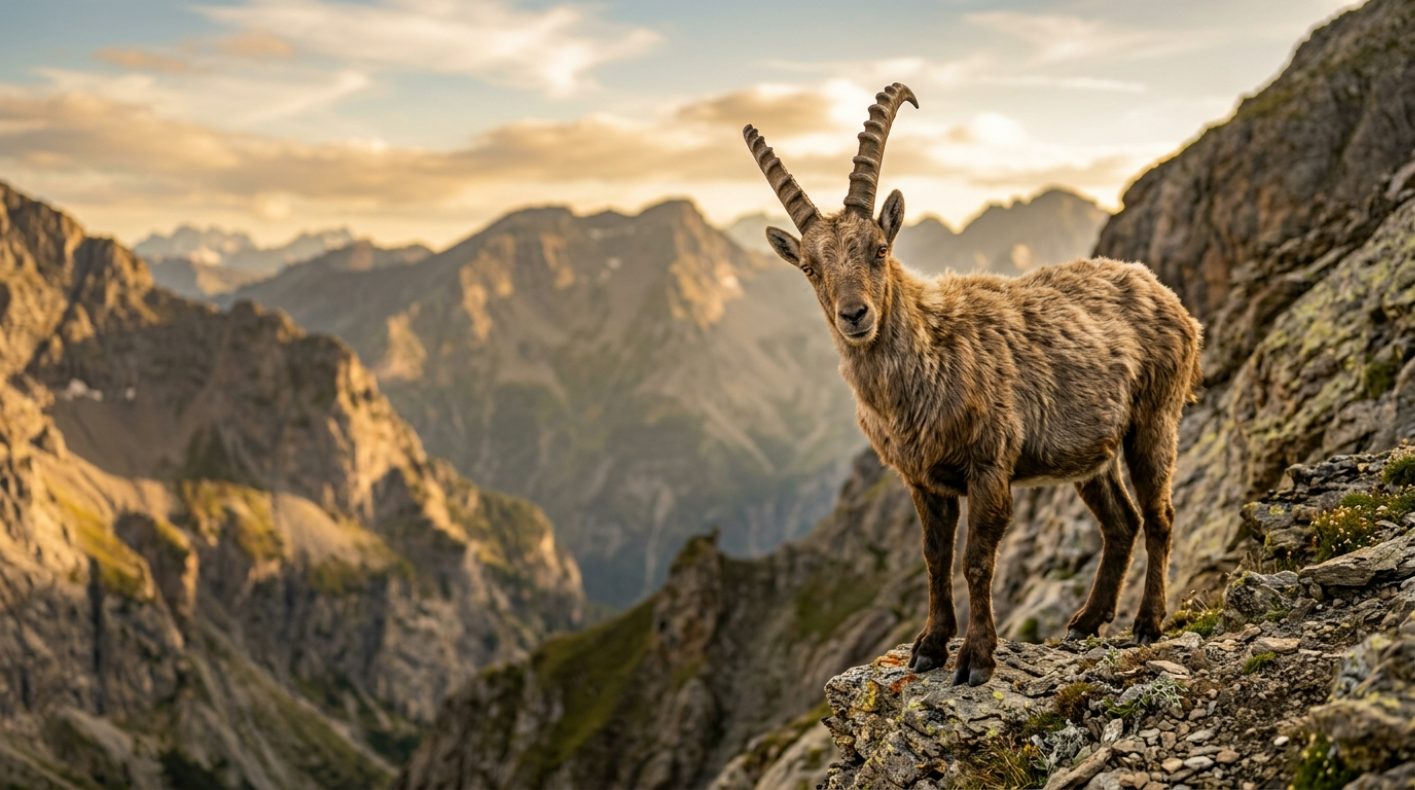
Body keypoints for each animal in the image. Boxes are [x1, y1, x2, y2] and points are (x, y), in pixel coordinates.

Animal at [744, 83, 1202, 686]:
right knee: (1120, 522)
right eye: (810, 268)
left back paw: (1148, 621)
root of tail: (1168, 297)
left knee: (1159, 516)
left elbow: (976, 561)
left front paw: (976, 657)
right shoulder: (924, 480)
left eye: (879, 249)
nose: (855, 315)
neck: (928, 363)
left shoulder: (989, 467)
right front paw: (930, 645)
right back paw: (1087, 620)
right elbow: (934, 557)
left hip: (1154, 420)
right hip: (1089, 453)